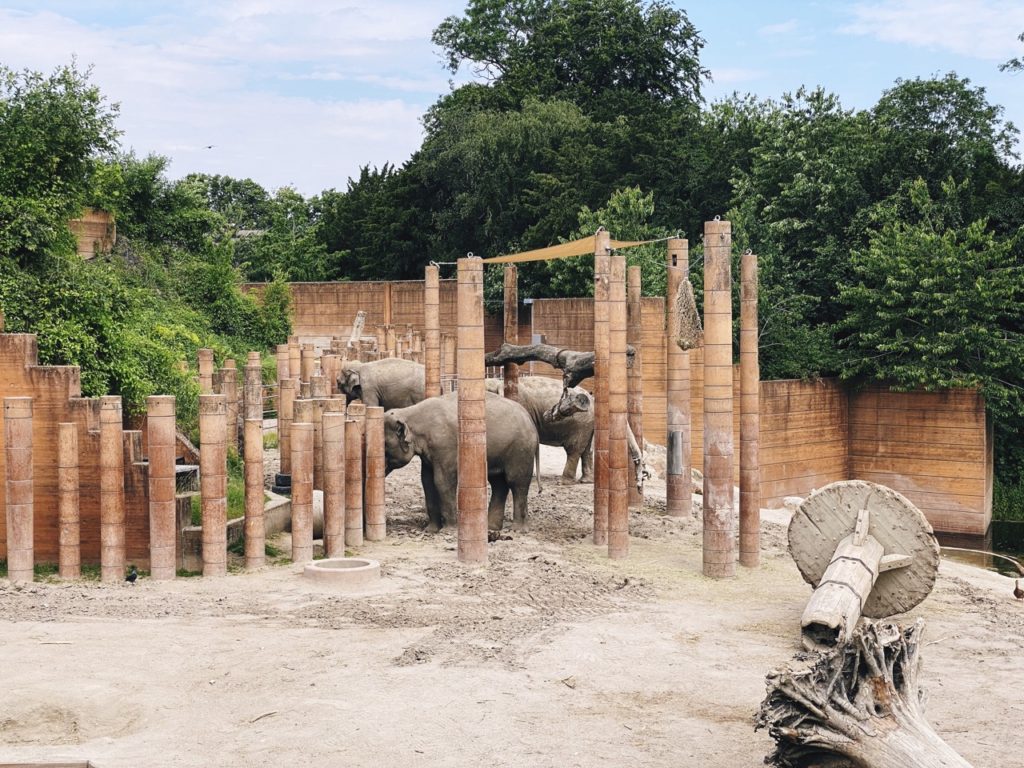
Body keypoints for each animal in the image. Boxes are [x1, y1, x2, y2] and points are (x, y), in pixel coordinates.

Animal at [383, 392, 539, 532]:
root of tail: (530, 420)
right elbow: (426, 481)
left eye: (384, 447)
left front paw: (448, 531)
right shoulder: (428, 455)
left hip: (521, 449)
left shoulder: (445, 446)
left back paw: (517, 530)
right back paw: (491, 528)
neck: (410, 413)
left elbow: (442, 481)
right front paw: (430, 530)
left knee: (516, 482)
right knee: (498, 483)